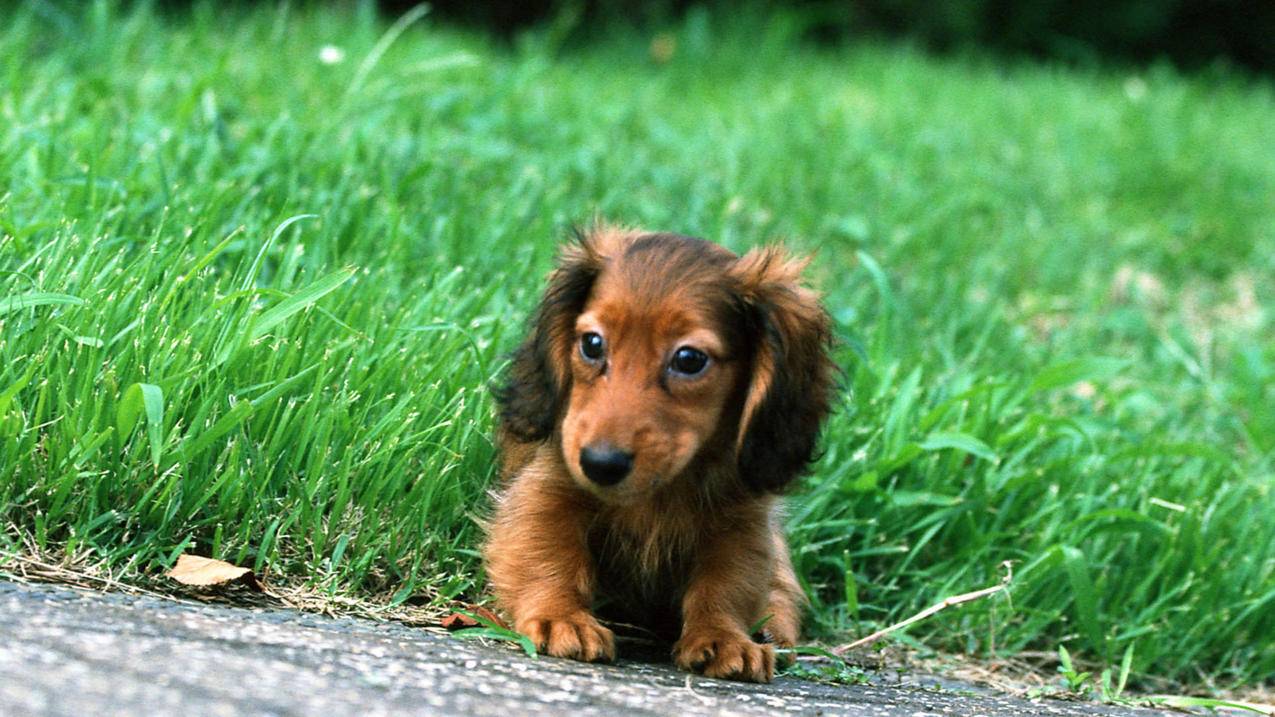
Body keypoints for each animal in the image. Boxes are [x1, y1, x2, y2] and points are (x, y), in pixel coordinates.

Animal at [479, 223, 836, 678]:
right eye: (592, 344)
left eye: (689, 359)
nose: (600, 464)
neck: (660, 490)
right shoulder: (548, 488)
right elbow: (547, 553)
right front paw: (561, 618)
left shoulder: (742, 522)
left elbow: (727, 582)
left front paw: (724, 637)